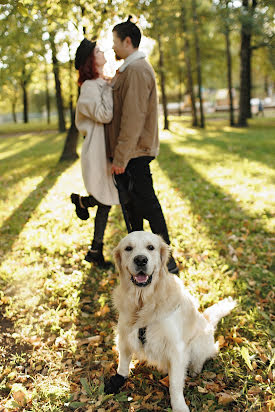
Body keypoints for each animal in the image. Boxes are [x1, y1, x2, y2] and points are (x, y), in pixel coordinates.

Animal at [105, 232, 237, 412]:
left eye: (151, 247)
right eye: (128, 248)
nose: (141, 260)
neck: (144, 301)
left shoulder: (177, 348)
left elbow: (174, 383)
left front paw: (179, 405)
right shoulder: (124, 337)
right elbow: (123, 365)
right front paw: (117, 381)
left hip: (198, 342)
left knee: (205, 354)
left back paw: (195, 369)